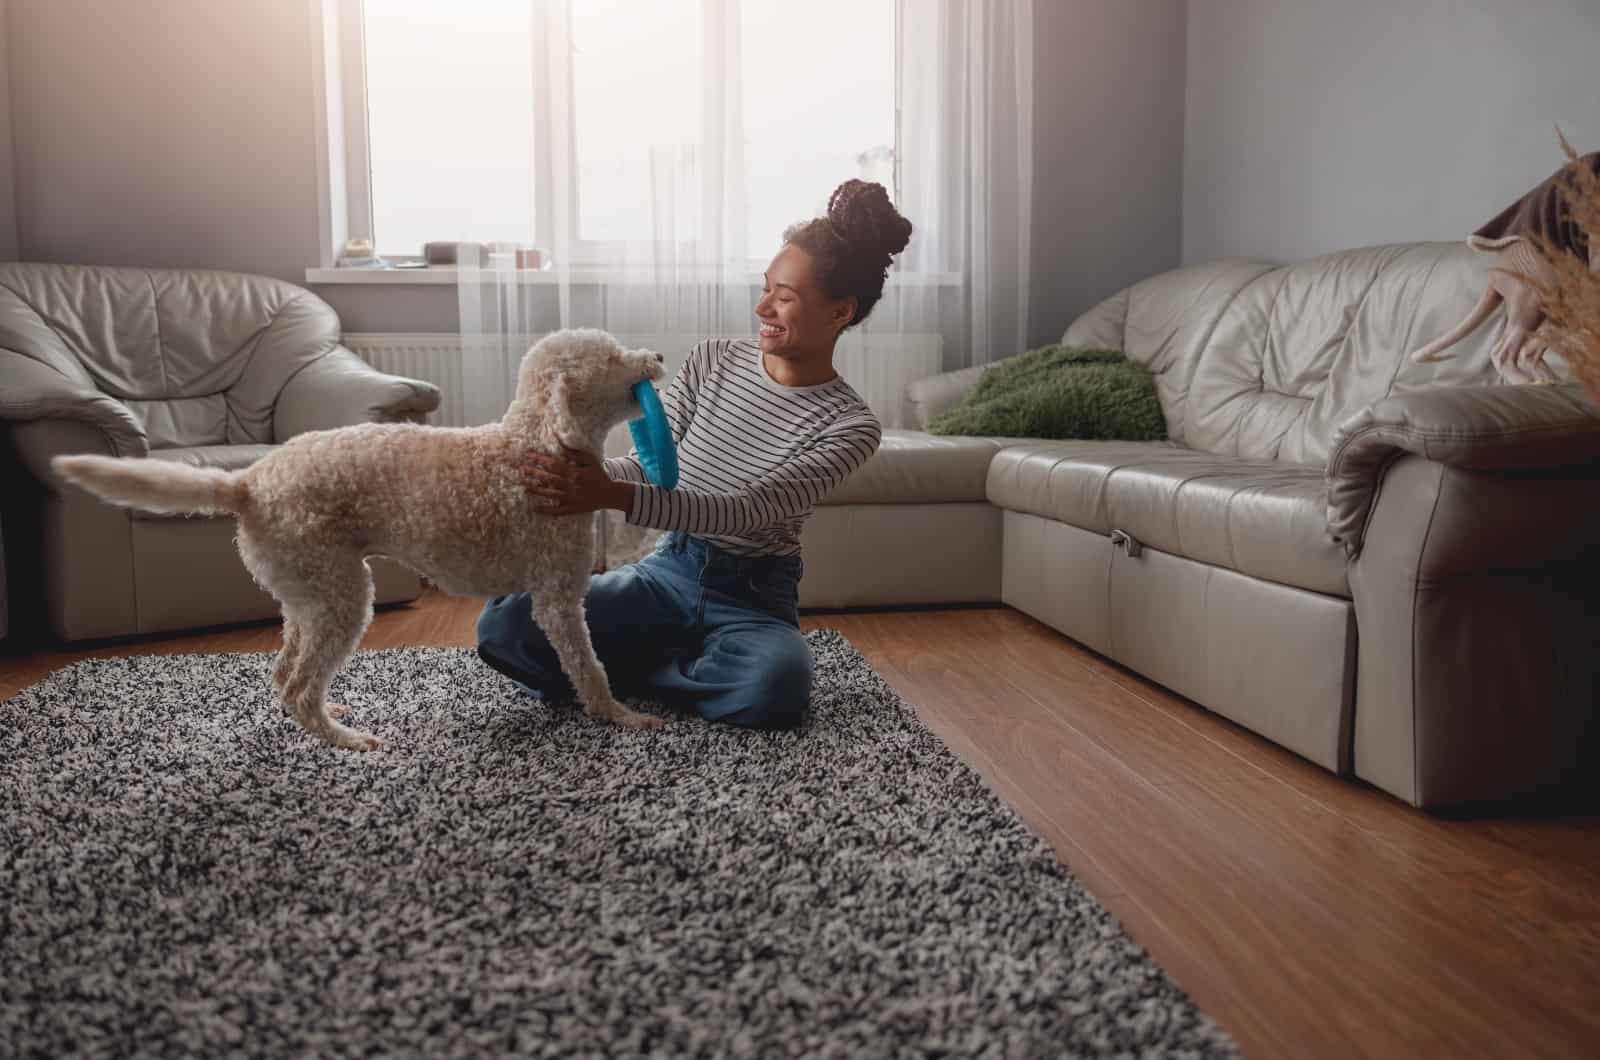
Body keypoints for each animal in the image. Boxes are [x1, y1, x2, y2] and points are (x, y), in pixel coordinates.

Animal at [50, 328, 662, 752]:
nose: (655, 356)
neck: (533, 443)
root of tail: (248, 483)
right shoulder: (558, 600)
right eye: (612, 357)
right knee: (299, 686)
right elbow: (589, 667)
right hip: (339, 595)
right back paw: (344, 740)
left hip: (308, 593)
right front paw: (622, 716)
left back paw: (324, 714)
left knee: (284, 673)